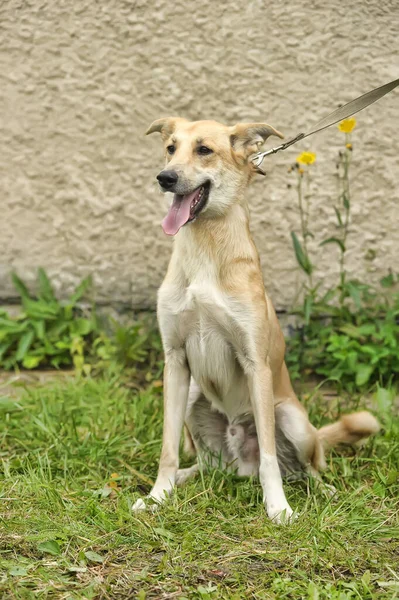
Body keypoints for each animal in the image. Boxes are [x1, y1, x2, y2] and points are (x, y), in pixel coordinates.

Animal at [133, 117, 380, 520]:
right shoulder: (175, 360)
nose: (164, 178)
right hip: (193, 399)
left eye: (204, 150)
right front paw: (158, 495)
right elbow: (167, 449)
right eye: (171, 148)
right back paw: (186, 478)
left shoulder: (255, 364)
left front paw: (278, 509)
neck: (205, 247)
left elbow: (269, 459)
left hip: (293, 420)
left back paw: (322, 490)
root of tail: (239, 467)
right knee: (206, 464)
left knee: (305, 466)